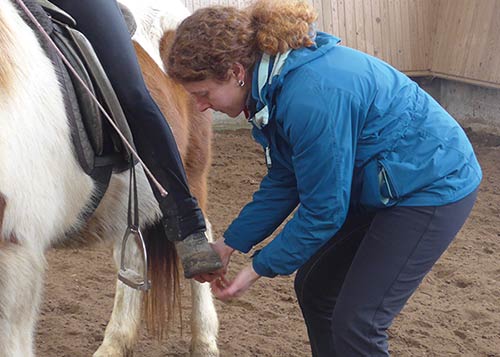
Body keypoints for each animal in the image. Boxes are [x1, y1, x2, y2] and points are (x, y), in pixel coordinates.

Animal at [0, 0, 219, 354]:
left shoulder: (16, 253)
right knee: (132, 253)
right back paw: (115, 342)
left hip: (192, 170)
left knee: (200, 233)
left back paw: (204, 340)